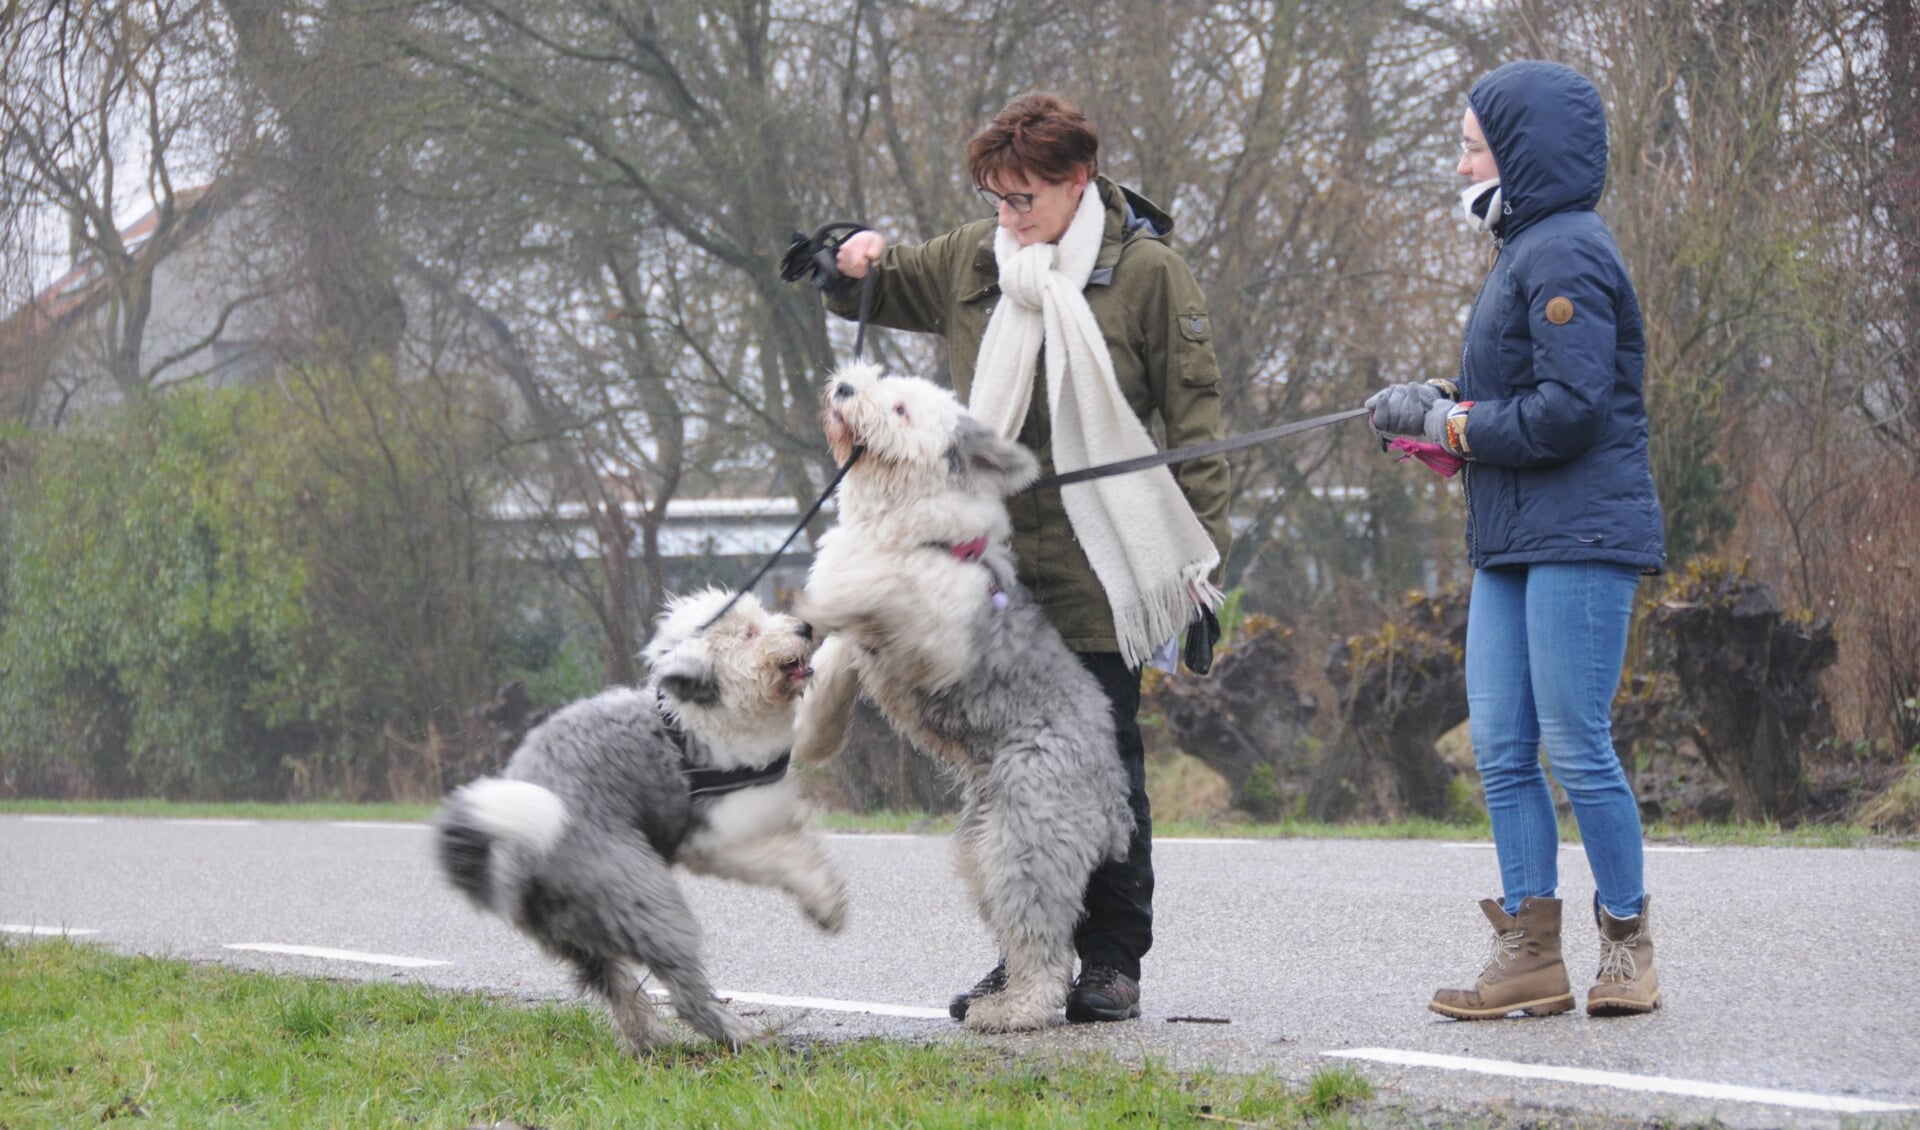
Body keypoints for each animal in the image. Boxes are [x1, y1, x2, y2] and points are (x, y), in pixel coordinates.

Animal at [445, 587, 852, 1051]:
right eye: (749, 632)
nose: (805, 627)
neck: (708, 710)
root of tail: (512, 861)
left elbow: (801, 836)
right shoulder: (719, 834)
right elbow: (786, 856)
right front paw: (826, 905)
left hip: (574, 932)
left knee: (611, 981)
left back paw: (650, 1038)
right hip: (647, 899)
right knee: (684, 992)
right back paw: (743, 1037)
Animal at [791, 360, 1128, 1028]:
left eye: (900, 409)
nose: (845, 386)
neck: (901, 509)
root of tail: (1111, 797)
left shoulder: (939, 630)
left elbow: (880, 584)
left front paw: (830, 589)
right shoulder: (860, 647)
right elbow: (837, 660)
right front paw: (814, 733)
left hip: (1024, 842)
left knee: (1047, 952)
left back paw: (1016, 1013)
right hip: (984, 847)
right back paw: (995, 997)